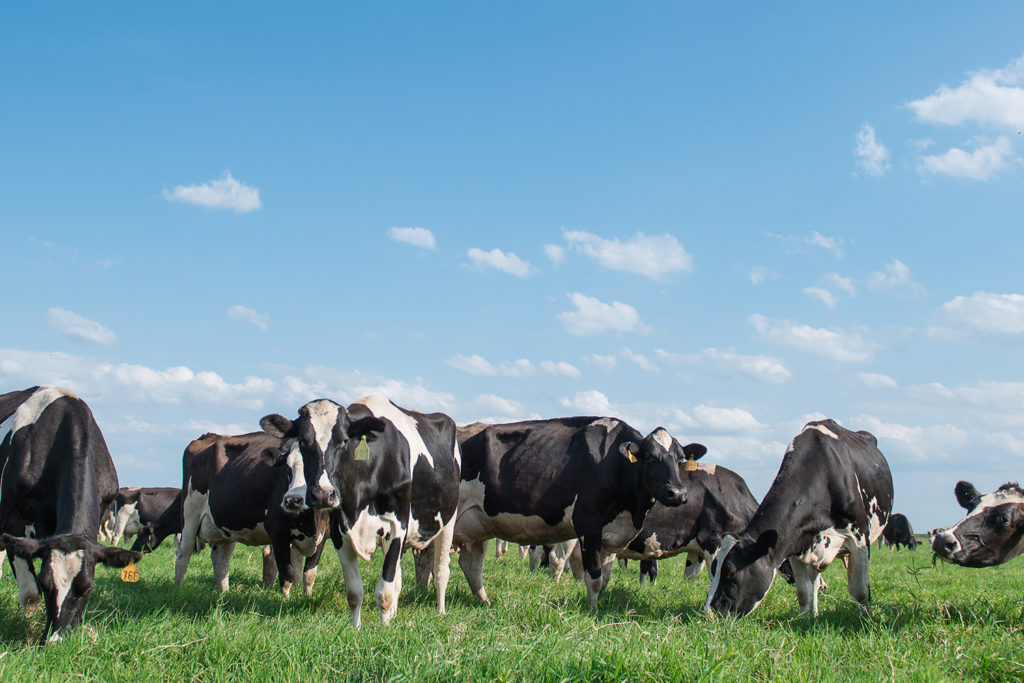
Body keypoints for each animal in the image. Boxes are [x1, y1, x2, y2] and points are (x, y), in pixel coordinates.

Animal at [173, 432, 327, 598]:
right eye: (288, 469)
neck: (311, 521)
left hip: (225, 526)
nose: (292, 500)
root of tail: (210, 436)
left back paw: (223, 594)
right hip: (189, 516)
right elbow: (287, 576)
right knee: (183, 554)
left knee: (221, 558)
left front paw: (307, 598)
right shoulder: (278, 533)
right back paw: (178, 591)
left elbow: (309, 575)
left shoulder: (323, 535)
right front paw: (284, 601)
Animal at [260, 395, 460, 626]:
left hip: (448, 521)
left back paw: (441, 611)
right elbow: (355, 591)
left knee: (441, 570)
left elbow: (385, 590)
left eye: (343, 441)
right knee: (398, 578)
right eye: (303, 442)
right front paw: (357, 627)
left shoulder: (398, 525)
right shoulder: (339, 530)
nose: (322, 494)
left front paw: (384, 627)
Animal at [452, 417, 692, 610]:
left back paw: (485, 602)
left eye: (680, 459)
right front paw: (592, 611)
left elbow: (605, 578)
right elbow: (593, 576)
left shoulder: (612, 536)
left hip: (476, 525)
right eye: (651, 457)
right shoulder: (589, 527)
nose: (677, 493)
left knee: (471, 565)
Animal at [704, 417, 888, 618]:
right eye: (713, 569)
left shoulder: (859, 537)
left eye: (730, 572)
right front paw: (805, 619)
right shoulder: (795, 541)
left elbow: (860, 591)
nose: (709, 614)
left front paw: (865, 619)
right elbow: (803, 592)